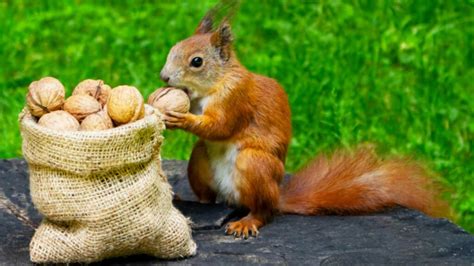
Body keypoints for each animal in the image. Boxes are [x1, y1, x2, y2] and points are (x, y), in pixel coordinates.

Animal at [160, 10, 448, 239]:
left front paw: (182, 118)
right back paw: (187, 199)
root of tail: (277, 197)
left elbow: (221, 126)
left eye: (197, 62)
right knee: (208, 196)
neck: (215, 83)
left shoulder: (236, 98)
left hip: (255, 165)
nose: (163, 76)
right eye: (172, 49)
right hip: (200, 161)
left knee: (264, 211)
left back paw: (248, 221)